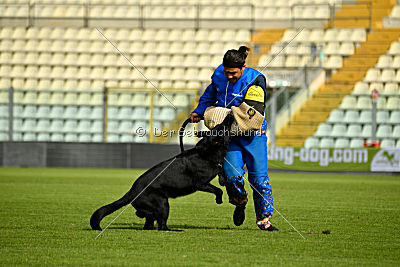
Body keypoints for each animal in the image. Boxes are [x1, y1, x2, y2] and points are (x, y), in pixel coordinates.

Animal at [90, 114, 234, 230]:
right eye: (222, 127)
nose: (230, 114)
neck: (206, 152)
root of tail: (131, 192)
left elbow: (222, 175)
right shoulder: (201, 184)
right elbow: (218, 190)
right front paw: (219, 200)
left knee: (149, 224)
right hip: (163, 204)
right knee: (161, 225)